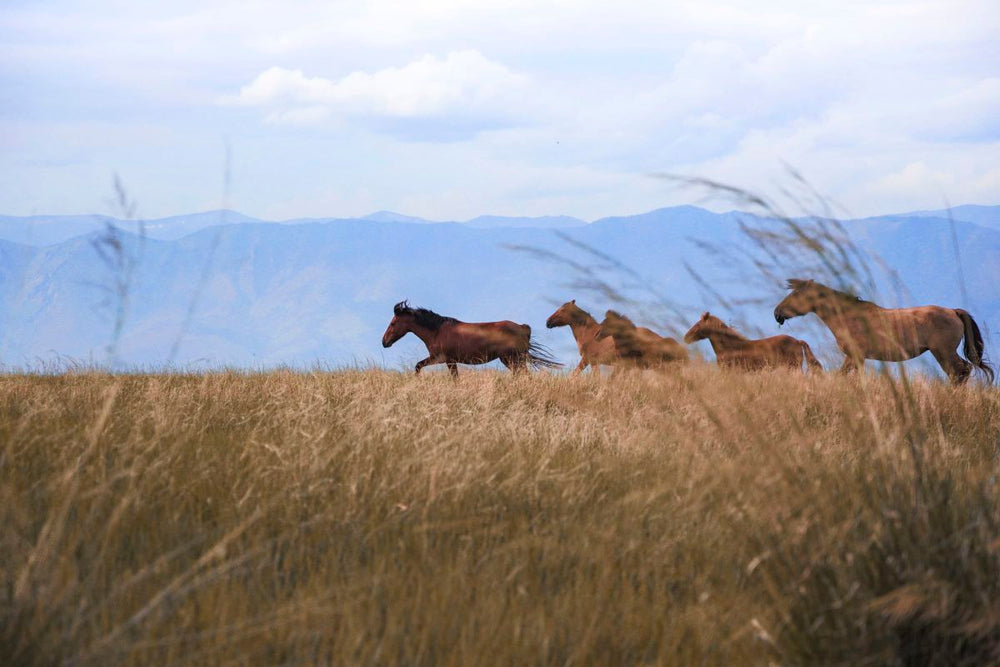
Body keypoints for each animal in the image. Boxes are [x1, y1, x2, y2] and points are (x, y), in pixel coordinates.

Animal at [382, 301, 561, 377]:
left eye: (393, 323)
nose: (384, 342)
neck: (437, 331)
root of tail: (523, 328)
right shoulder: (449, 361)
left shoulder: (442, 359)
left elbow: (418, 366)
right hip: (515, 359)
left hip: (511, 359)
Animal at [773, 279, 993, 385]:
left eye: (795, 295)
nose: (777, 313)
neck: (849, 316)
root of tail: (954, 311)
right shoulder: (858, 359)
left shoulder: (854, 356)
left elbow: (842, 375)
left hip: (943, 352)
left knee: (960, 371)